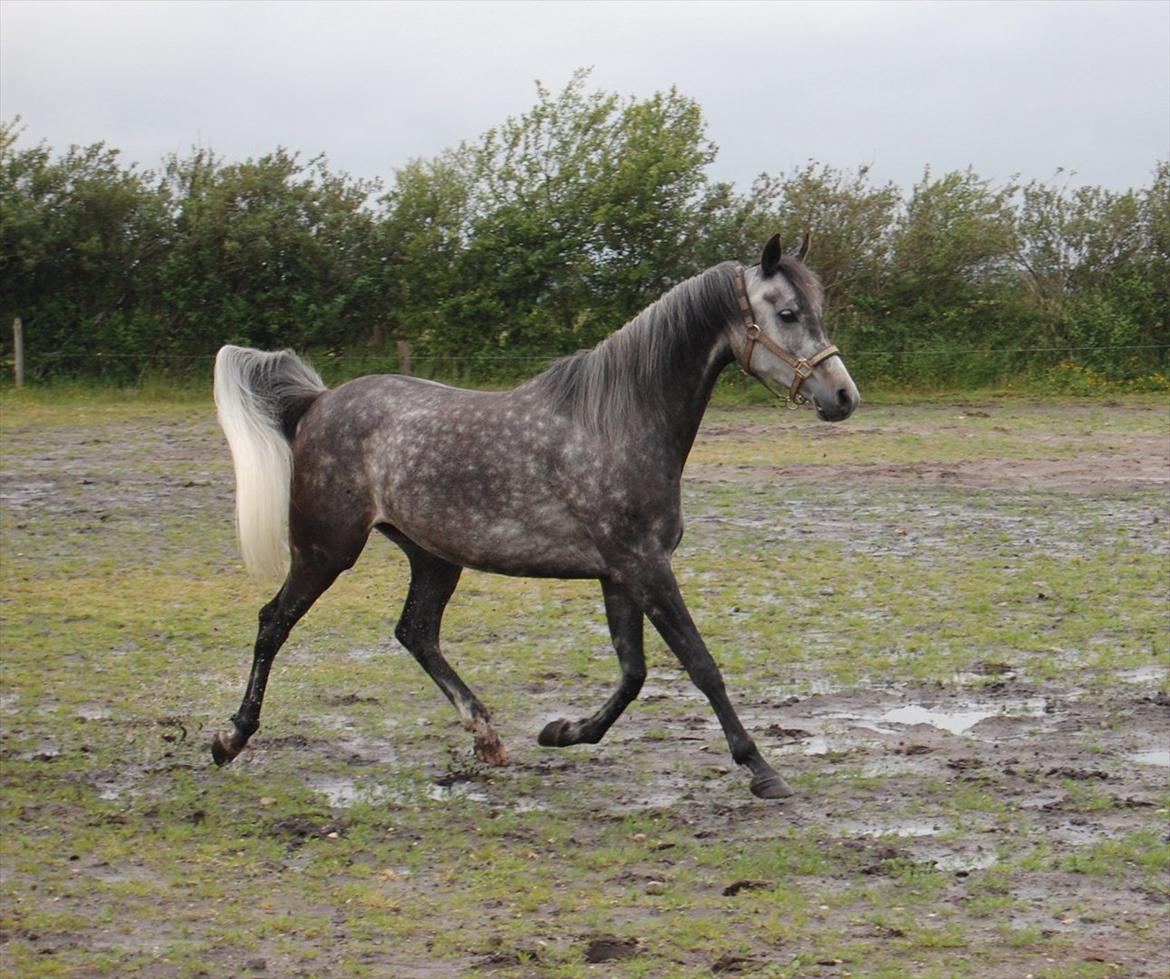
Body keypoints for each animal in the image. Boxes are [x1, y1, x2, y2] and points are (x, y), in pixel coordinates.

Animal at [208, 232, 861, 800]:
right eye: (787, 313)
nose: (843, 396)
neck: (620, 424)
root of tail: (317, 403)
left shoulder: (620, 573)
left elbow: (633, 673)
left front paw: (563, 732)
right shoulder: (644, 567)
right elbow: (700, 666)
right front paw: (760, 769)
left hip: (433, 556)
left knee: (416, 633)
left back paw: (487, 738)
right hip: (326, 549)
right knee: (274, 623)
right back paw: (230, 738)